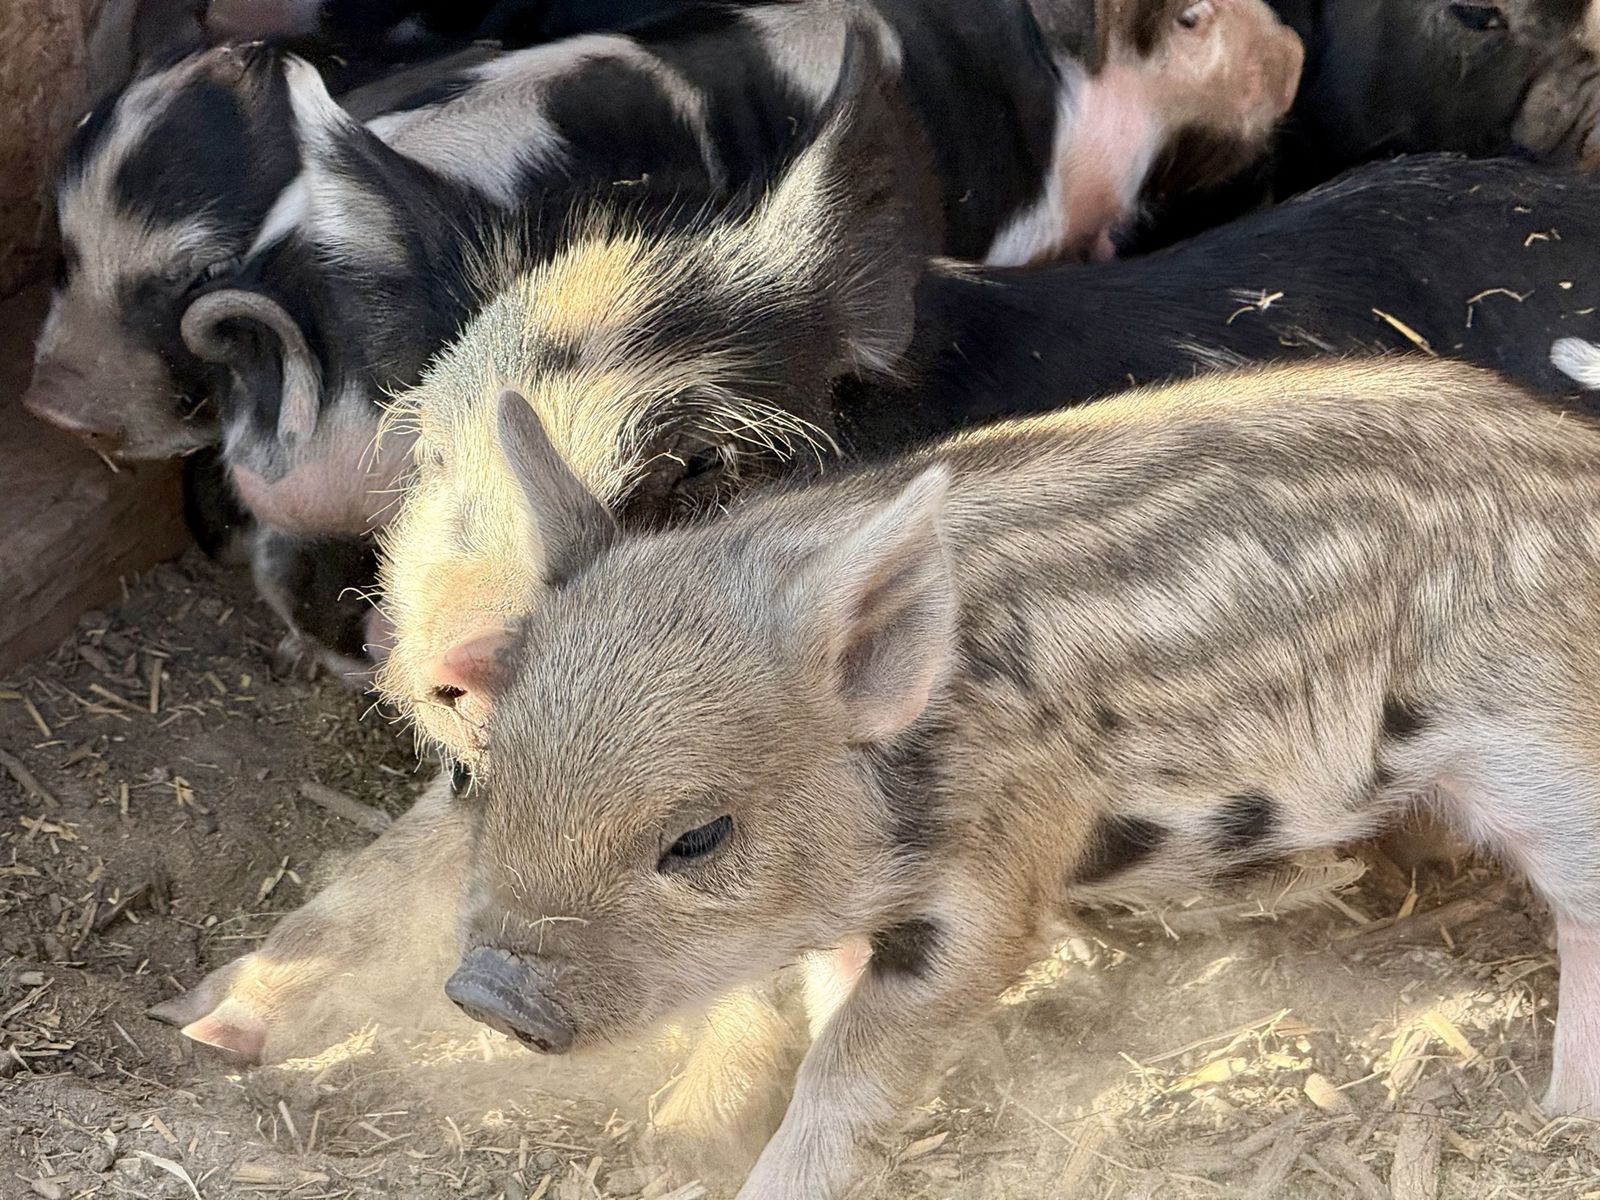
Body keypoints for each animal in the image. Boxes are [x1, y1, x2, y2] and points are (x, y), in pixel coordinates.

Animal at [430, 359, 1600, 1200]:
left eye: (699, 836)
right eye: (495, 772)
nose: (482, 992)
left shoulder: (997, 874)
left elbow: (855, 1057)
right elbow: (824, 1001)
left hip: (1541, 740)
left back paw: (1560, 1115)